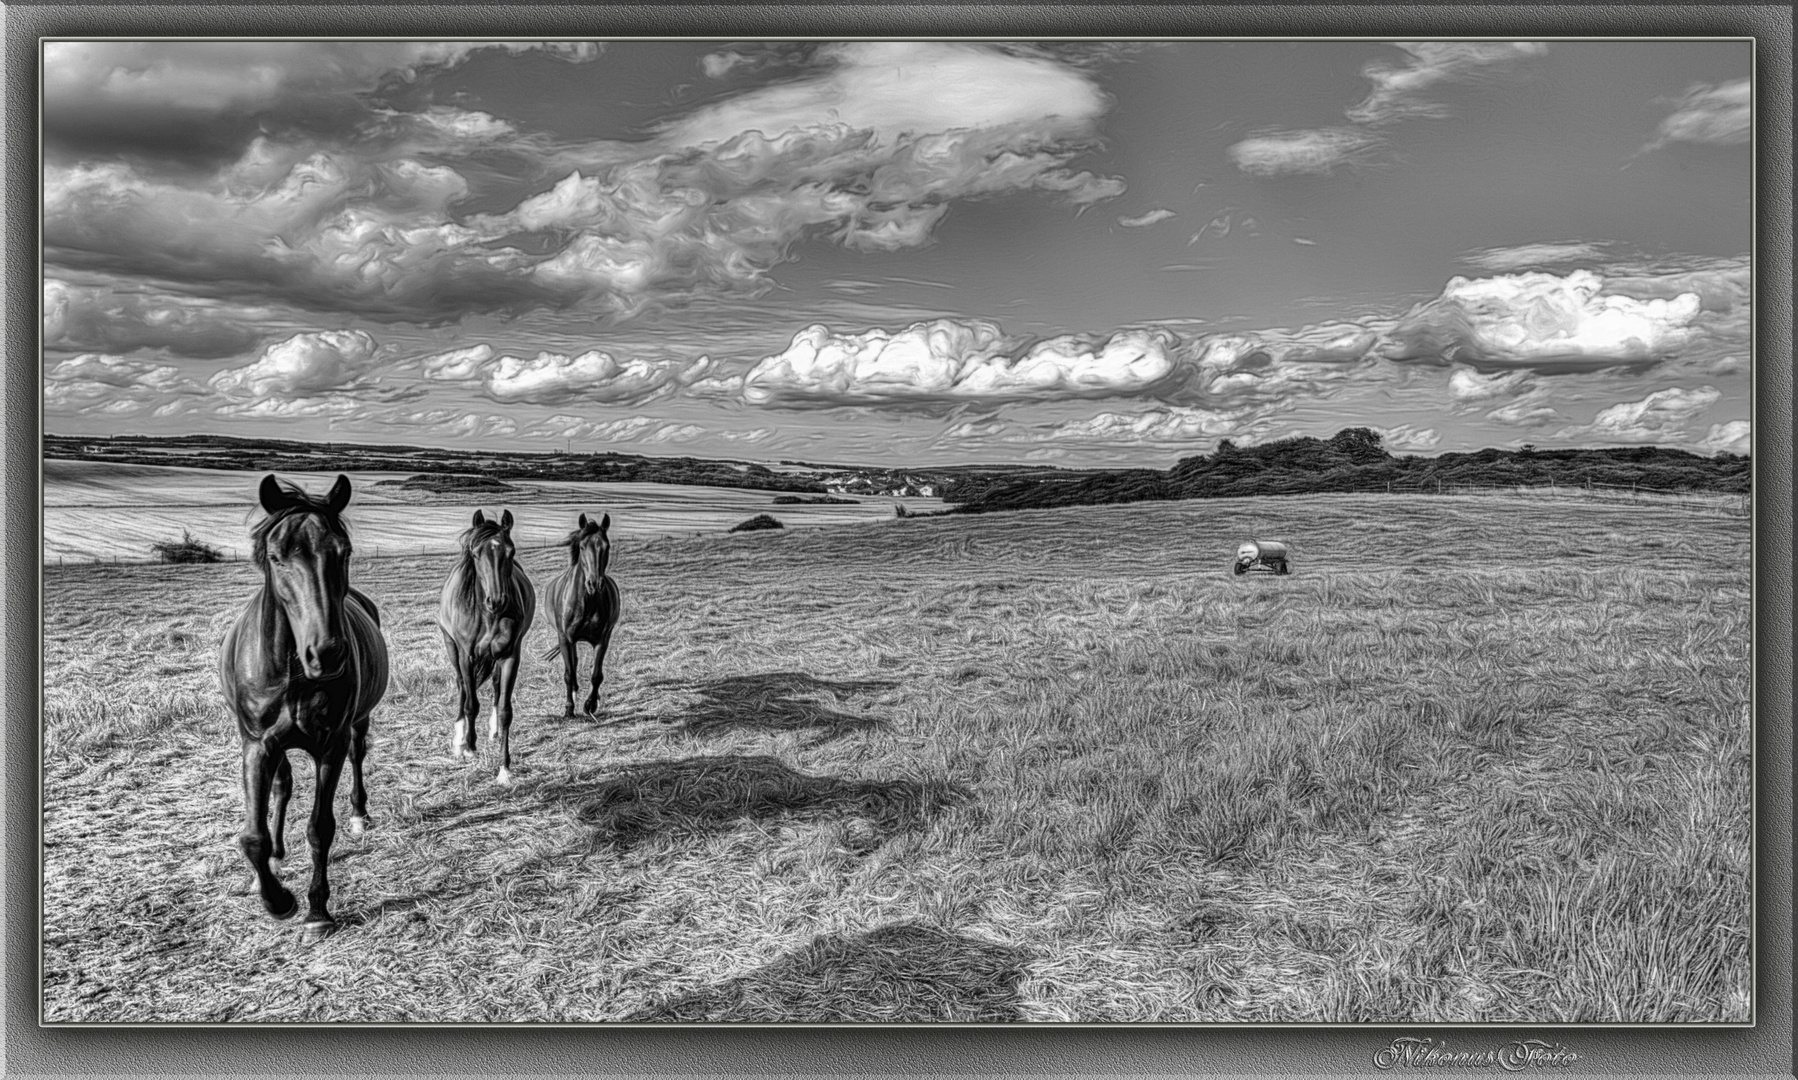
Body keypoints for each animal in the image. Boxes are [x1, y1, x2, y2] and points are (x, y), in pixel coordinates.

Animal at [219, 474, 388, 941]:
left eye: (343, 552)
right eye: (277, 557)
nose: (326, 654)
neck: (292, 669)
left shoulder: (330, 744)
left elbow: (320, 827)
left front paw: (316, 911)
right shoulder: (257, 745)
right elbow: (252, 836)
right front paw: (276, 898)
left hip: (358, 725)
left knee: (358, 755)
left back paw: (359, 815)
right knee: (282, 786)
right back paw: (275, 861)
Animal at [436, 510, 532, 779]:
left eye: (511, 552)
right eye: (476, 553)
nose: (496, 601)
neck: (487, 616)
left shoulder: (510, 655)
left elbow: (506, 709)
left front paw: (505, 769)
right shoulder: (466, 656)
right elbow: (471, 703)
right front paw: (469, 747)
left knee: (496, 686)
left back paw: (494, 730)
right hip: (452, 648)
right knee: (461, 686)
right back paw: (460, 740)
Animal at [539, 510, 625, 715]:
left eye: (606, 546)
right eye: (583, 546)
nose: (594, 584)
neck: (587, 601)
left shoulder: (603, 639)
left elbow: (597, 675)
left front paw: (590, 704)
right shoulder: (565, 638)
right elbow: (569, 673)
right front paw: (569, 708)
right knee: (573, 664)